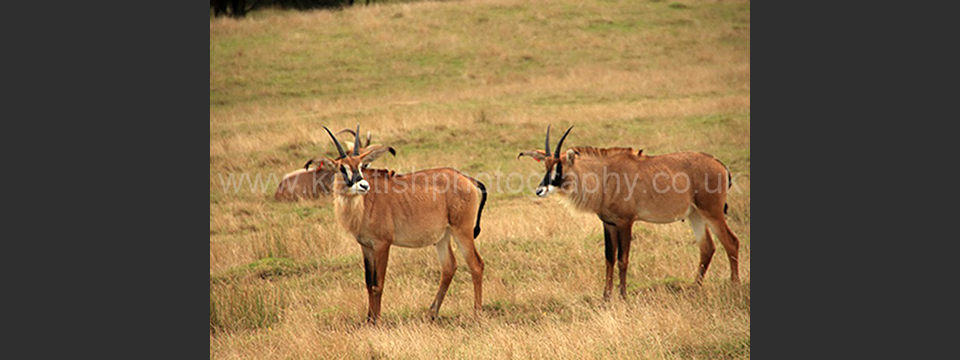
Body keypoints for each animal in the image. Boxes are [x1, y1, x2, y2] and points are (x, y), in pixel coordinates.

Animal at [322, 124, 488, 324]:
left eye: (361, 165)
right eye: (342, 168)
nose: (363, 185)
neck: (364, 203)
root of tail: (467, 179)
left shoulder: (382, 245)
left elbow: (378, 283)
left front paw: (377, 321)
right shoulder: (366, 246)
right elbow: (368, 283)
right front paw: (369, 320)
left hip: (462, 231)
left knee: (476, 264)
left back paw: (477, 313)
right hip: (443, 237)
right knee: (449, 267)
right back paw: (432, 313)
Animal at [520, 125, 740, 300]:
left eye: (559, 167)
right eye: (546, 166)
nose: (540, 190)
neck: (605, 176)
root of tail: (720, 164)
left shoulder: (626, 222)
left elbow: (622, 259)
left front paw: (623, 296)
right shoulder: (608, 223)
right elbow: (609, 258)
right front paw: (606, 297)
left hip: (712, 212)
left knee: (731, 242)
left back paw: (734, 287)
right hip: (695, 215)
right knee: (707, 248)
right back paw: (694, 289)